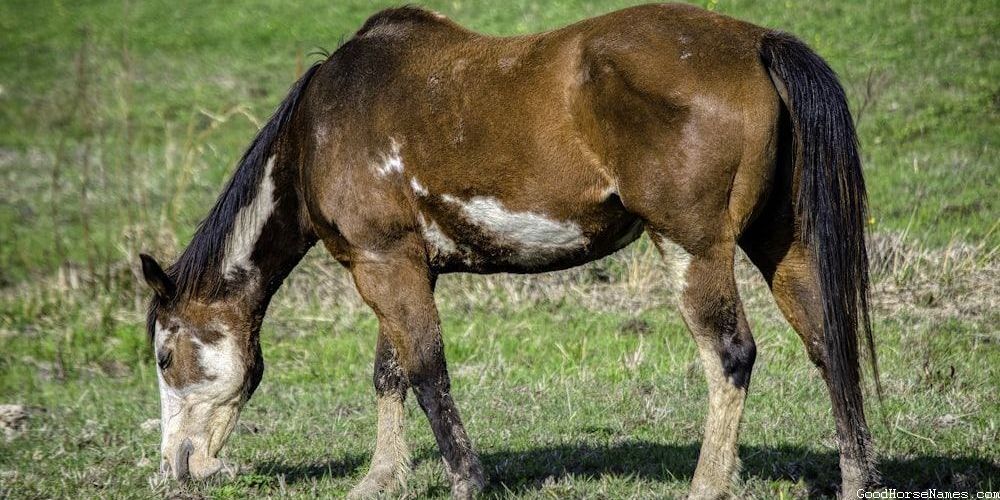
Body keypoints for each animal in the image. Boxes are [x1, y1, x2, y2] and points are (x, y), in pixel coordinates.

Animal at [139, 4, 879, 498]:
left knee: (730, 355)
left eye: (165, 356)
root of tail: (757, 43)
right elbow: (390, 372)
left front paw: (465, 478)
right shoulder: (398, 267)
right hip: (780, 242)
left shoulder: (384, 265)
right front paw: (380, 478)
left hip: (693, 245)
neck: (318, 130)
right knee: (827, 341)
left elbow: (427, 371)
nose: (177, 467)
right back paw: (856, 477)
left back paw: (708, 483)